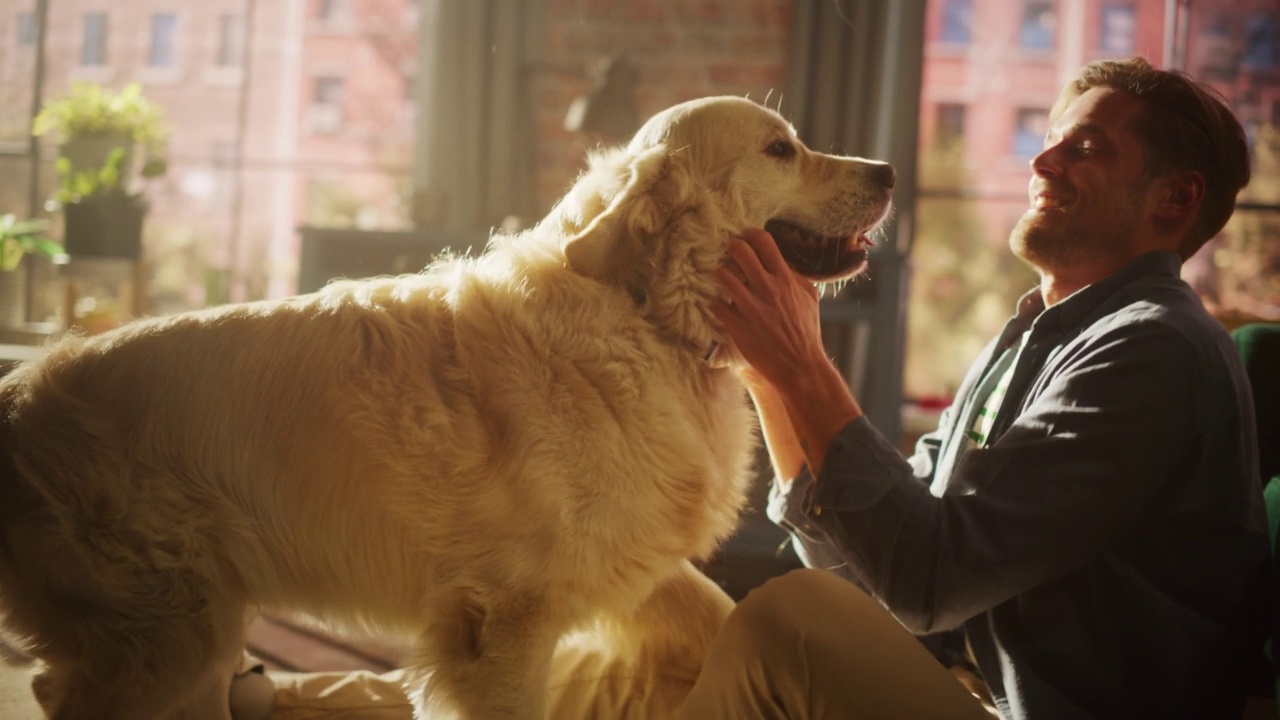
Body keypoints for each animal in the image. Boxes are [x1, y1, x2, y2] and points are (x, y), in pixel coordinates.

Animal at [0, 96, 896, 717]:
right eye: (781, 148)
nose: (889, 172)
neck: (643, 313)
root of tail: (20, 392)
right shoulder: (502, 623)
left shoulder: (619, 563)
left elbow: (721, 610)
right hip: (169, 636)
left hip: (190, 637)